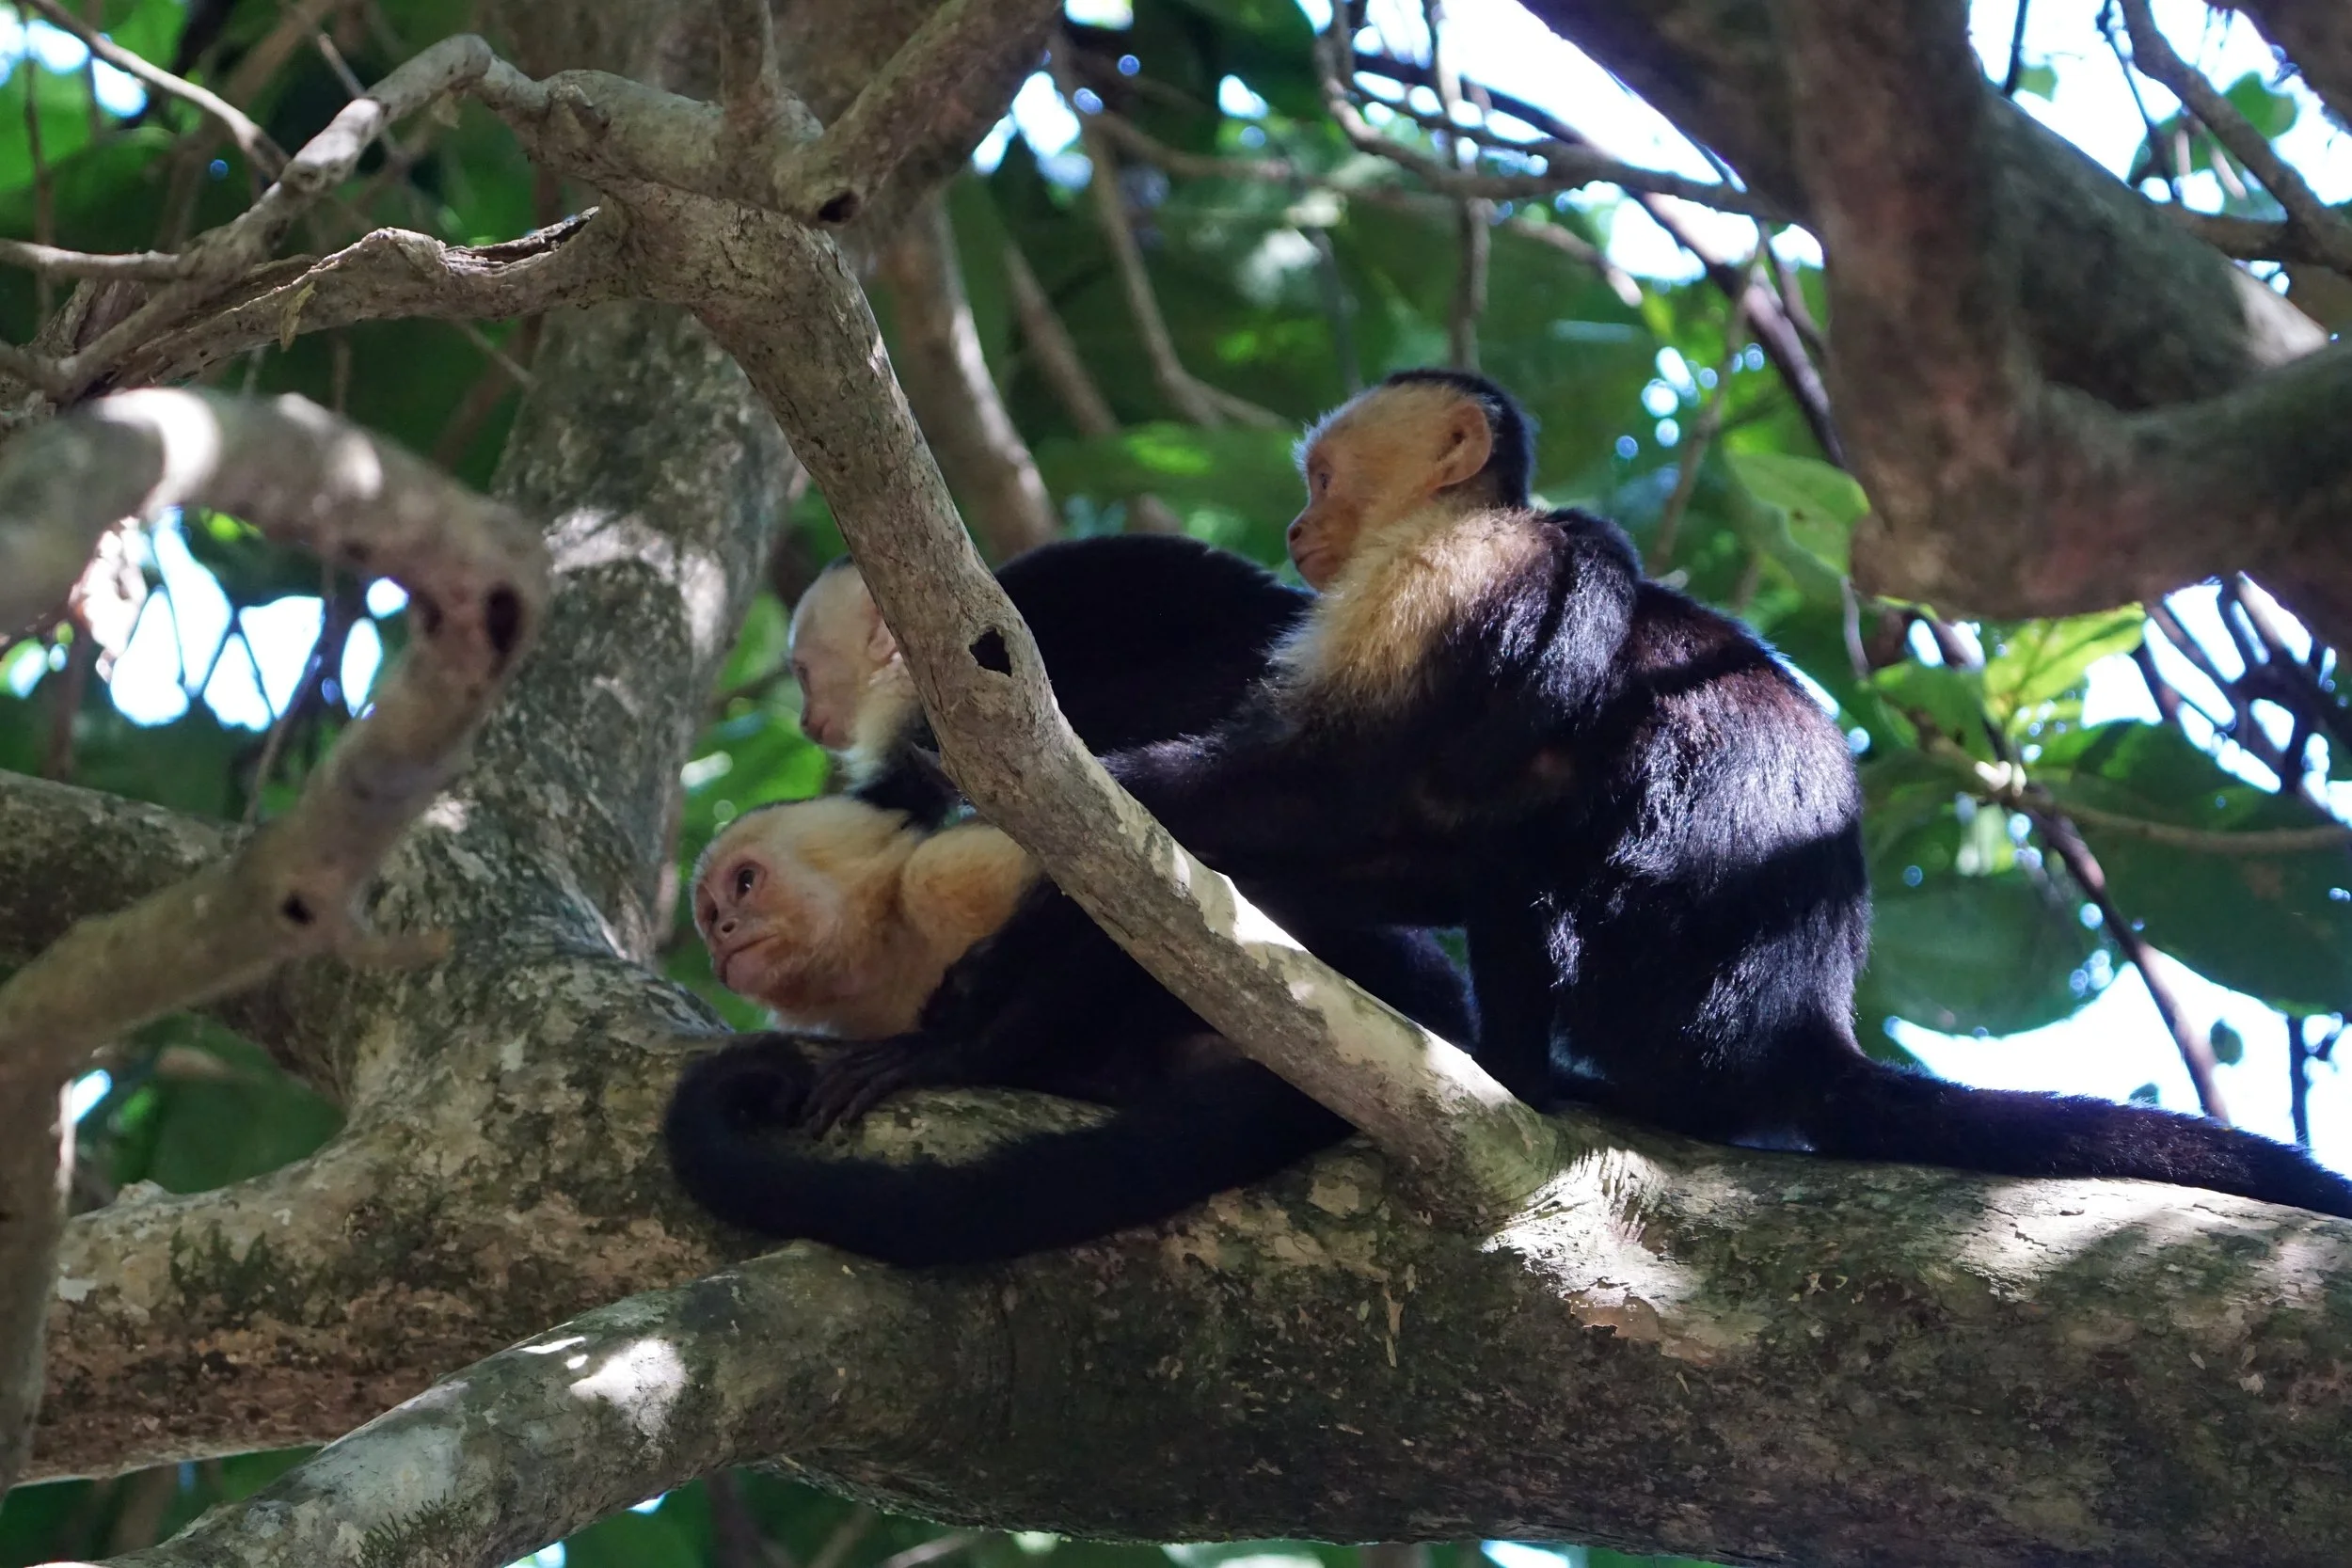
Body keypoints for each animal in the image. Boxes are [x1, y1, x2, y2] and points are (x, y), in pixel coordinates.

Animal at [665, 793, 1474, 1264]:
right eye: (708, 913)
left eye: (744, 883)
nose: (722, 932)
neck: (889, 944)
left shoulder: (949, 872)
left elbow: (1134, 906)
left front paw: (953, 1056)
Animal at [860, 367, 2352, 1219]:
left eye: (1322, 477)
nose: (1294, 528)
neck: (1466, 524)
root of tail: (1808, 1019)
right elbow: (1380, 833)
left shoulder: (1442, 578)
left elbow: (1334, 785)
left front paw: (1027, 805)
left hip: (1670, 989)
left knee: (1541, 856)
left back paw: (1531, 1075)